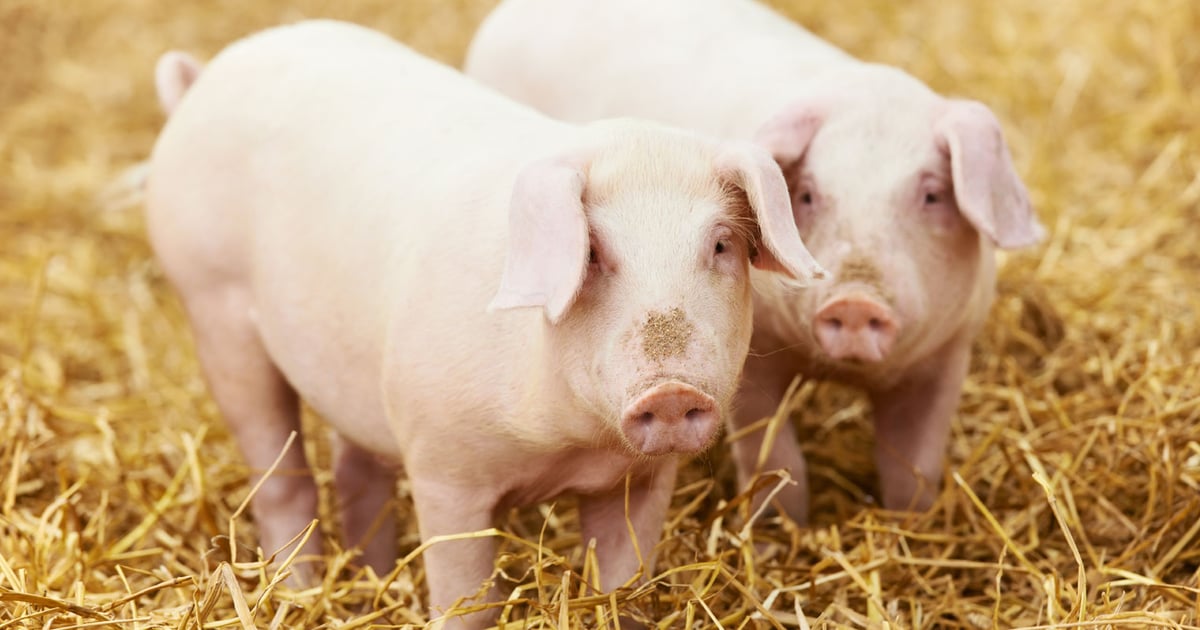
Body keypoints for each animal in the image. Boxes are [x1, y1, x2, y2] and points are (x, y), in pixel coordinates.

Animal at [145, 19, 824, 626]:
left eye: (720, 245)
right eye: (593, 251)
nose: (672, 391)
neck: (567, 444)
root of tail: (205, 78)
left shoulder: (641, 479)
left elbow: (622, 587)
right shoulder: (442, 466)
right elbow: (466, 600)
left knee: (355, 471)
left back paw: (369, 582)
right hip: (213, 306)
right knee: (282, 479)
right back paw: (299, 590)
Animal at [466, 0, 1044, 524]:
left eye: (932, 195)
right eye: (807, 194)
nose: (855, 301)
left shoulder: (948, 356)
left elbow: (913, 468)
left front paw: (909, 526)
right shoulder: (754, 353)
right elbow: (774, 457)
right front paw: (778, 531)